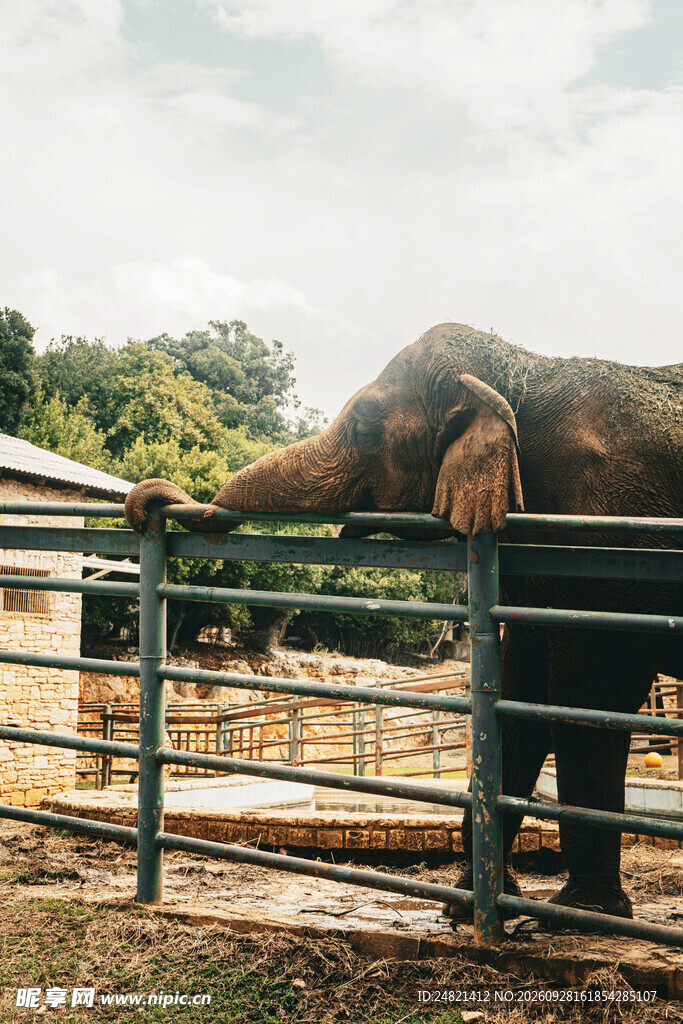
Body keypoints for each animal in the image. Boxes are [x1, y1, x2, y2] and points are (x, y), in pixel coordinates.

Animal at [125, 322, 683, 925]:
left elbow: (590, 693)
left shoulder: (606, 539)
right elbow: (521, 691)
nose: (149, 503)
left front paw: (576, 912)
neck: (521, 369)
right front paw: (470, 906)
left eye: (367, 428)